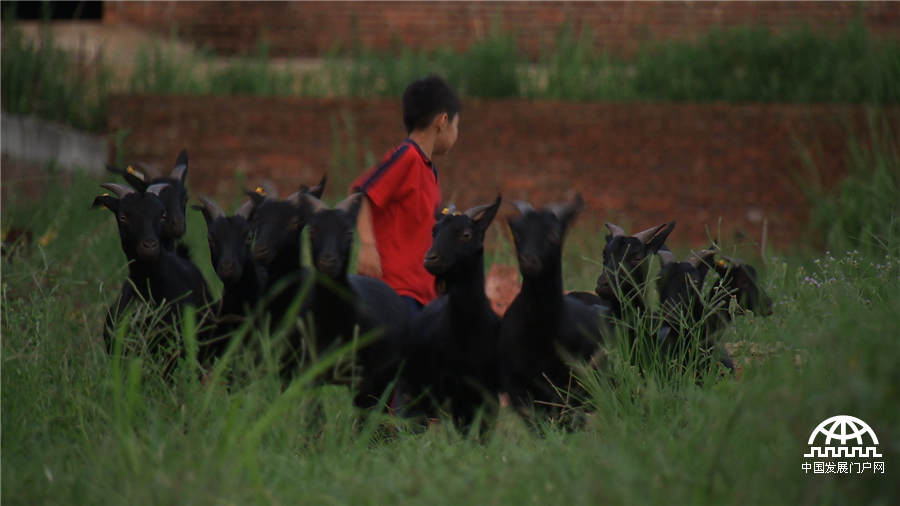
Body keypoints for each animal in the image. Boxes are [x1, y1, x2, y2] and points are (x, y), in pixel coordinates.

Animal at [300, 192, 406, 410]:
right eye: (312, 231)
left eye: (349, 232)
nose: (328, 261)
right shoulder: (310, 369)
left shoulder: (363, 377)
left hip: (390, 373)